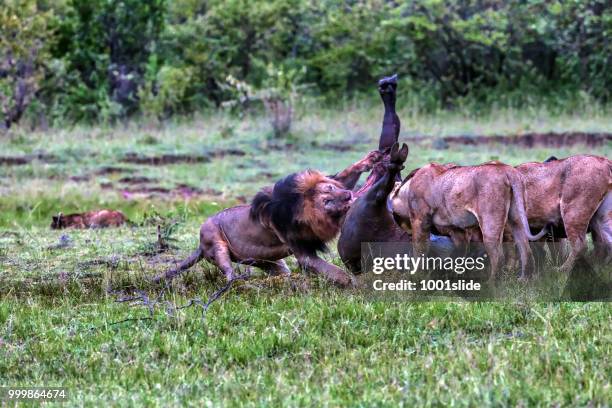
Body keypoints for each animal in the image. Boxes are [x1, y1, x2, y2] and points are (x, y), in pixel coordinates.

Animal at [153, 151, 380, 286]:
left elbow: (347, 174)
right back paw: (236, 283)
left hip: (269, 262)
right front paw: (354, 283)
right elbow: (332, 271)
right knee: (227, 270)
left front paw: (369, 160)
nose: (348, 195)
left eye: (331, 188)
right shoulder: (303, 251)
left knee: (281, 271)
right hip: (215, 244)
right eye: (327, 201)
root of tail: (199, 245)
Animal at [392, 161, 548, 278]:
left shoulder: (420, 220)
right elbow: (459, 254)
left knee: (498, 257)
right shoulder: (457, 230)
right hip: (516, 218)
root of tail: (509, 171)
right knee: (526, 251)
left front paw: (415, 276)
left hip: (490, 221)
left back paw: (491, 286)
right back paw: (523, 280)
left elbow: (419, 250)